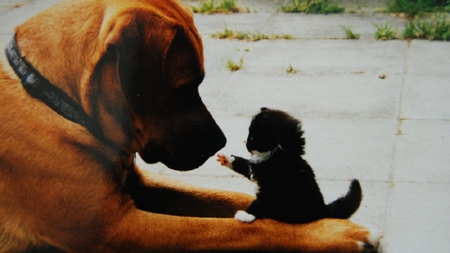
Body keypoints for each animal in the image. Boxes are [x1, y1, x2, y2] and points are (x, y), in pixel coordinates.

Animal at [218, 106, 362, 223]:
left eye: (252, 137)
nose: (245, 141)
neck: (278, 154)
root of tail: (322, 209)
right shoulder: (256, 168)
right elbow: (244, 165)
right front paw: (227, 158)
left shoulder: (272, 188)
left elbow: (261, 202)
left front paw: (247, 215)